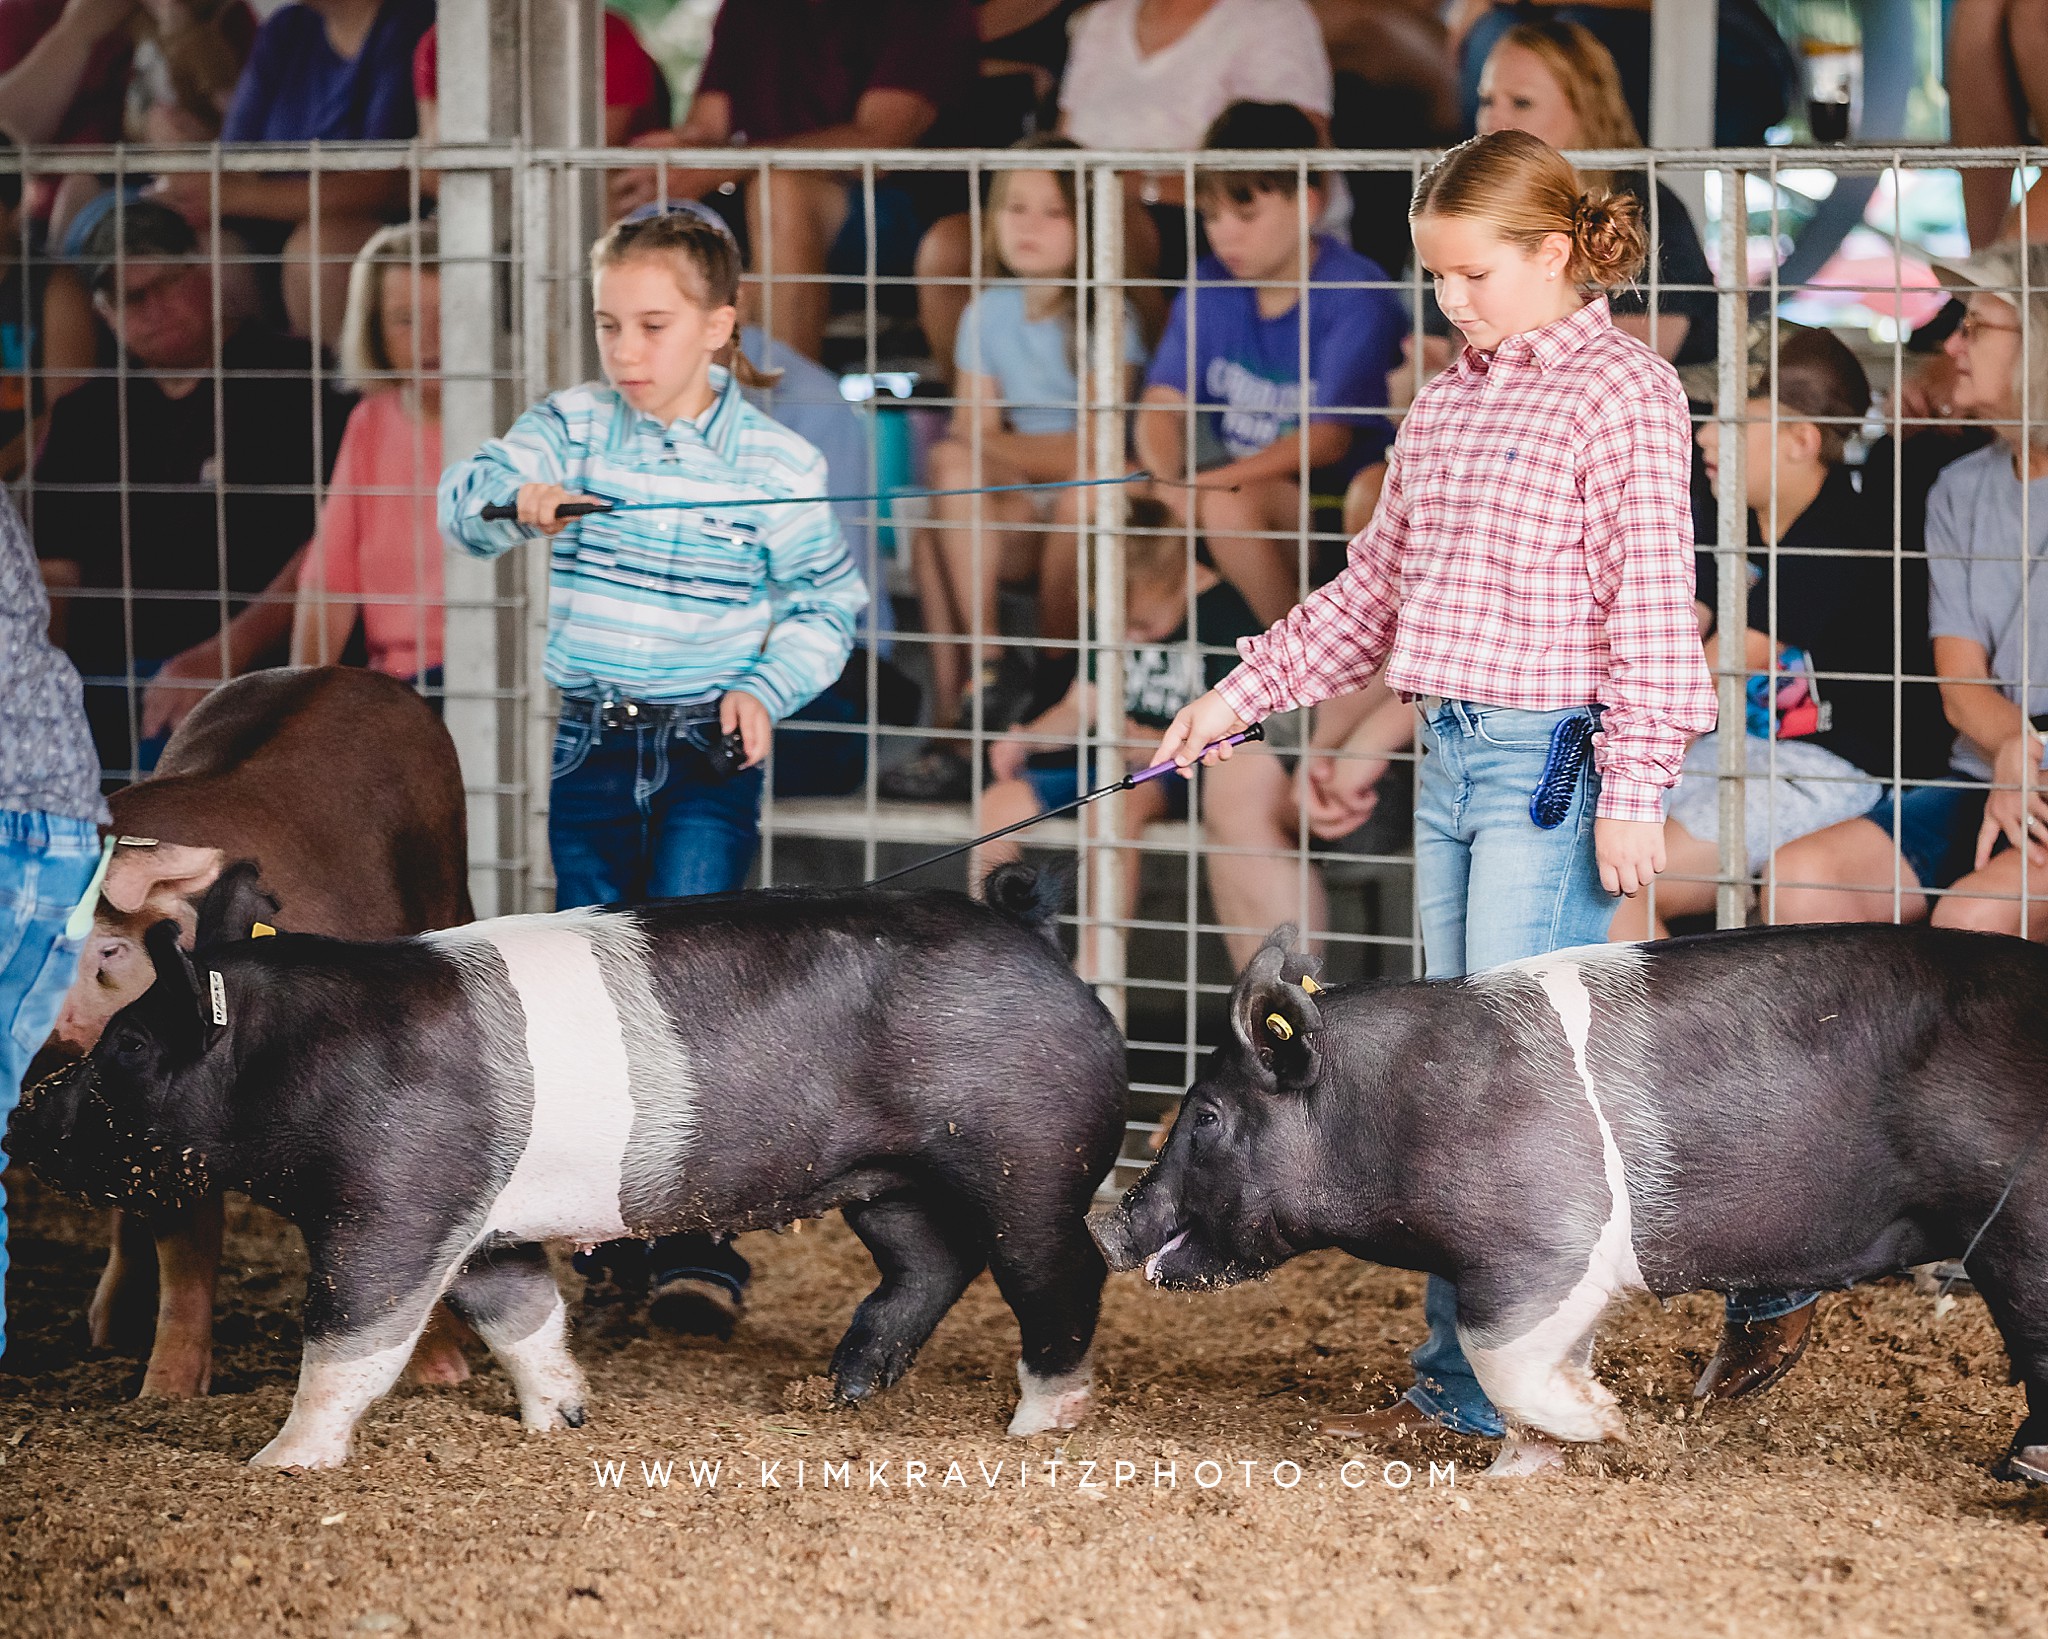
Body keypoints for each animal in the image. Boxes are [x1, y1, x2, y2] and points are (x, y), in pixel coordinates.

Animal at [4, 864, 1122, 1466]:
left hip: (1029, 1154)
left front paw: (277, 1463)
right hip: (886, 1180)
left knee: (1058, 1272)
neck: (294, 1061)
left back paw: (1036, 1426)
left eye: (127, 1046)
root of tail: (1033, 930)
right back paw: (842, 1392)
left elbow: (351, 1333)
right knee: (930, 1262)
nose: (27, 1113)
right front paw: (561, 1421)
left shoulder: (396, 1201)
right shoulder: (482, 1224)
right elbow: (521, 1317)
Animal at [1097, 930, 2048, 1475]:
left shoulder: (1544, 1239)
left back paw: (2023, 1472)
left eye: (1206, 1115)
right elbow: (1539, 1359)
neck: (1392, 1109)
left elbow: (1494, 1350)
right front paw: (1526, 1468)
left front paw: (1611, 1428)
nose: (1104, 1221)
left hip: (2016, 1220)